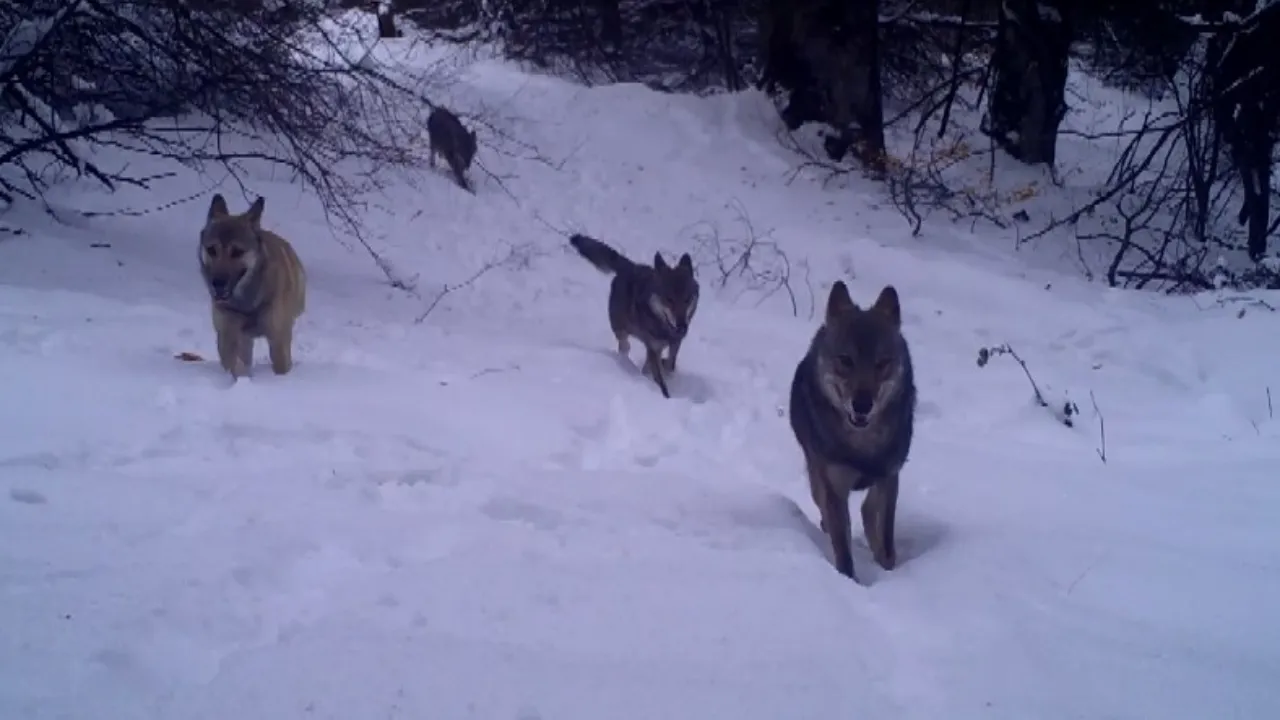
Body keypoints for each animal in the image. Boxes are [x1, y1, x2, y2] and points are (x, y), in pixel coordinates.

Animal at [200, 193, 308, 379]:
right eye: (212, 250)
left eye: (237, 252)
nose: (217, 283)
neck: (247, 302)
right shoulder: (228, 333)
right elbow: (234, 363)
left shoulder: (278, 338)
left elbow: (281, 364)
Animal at [570, 230, 701, 394]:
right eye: (669, 299)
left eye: (687, 299)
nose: (682, 326)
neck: (665, 329)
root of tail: (630, 266)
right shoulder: (653, 348)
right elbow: (661, 382)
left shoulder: (675, 344)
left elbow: (670, 365)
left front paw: (664, 367)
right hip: (620, 329)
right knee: (624, 347)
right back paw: (626, 363)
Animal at [783, 280, 916, 584]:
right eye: (846, 360)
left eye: (882, 363)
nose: (862, 404)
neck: (863, 448)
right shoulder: (833, 487)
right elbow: (842, 548)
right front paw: (849, 583)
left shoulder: (889, 477)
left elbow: (885, 540)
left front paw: (889, 570)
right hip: (816, 475)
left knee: (867, 512)